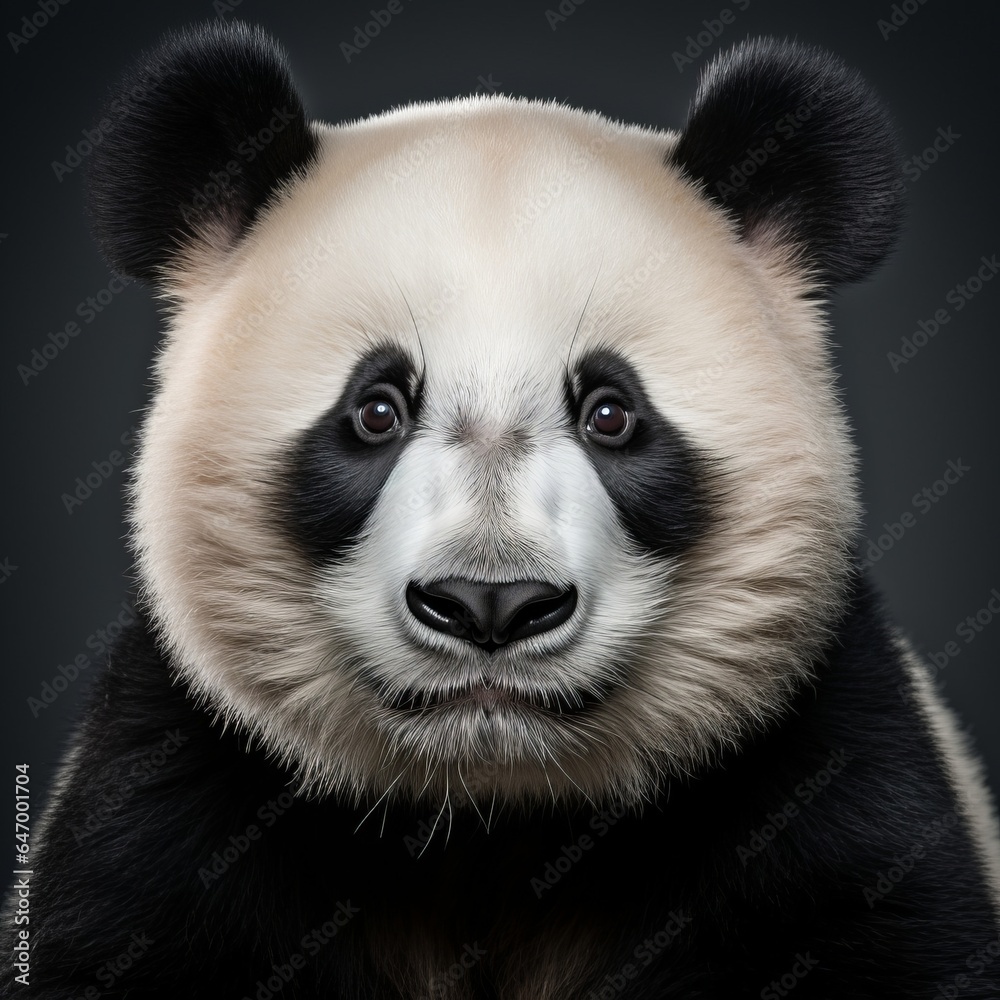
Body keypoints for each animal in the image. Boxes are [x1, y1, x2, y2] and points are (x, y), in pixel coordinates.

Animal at [4, 18, 999, 1000]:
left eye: (611, 414)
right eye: (375, 411)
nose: (491, 605)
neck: (490, 821)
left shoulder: (827, 776)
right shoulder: (174, 797)